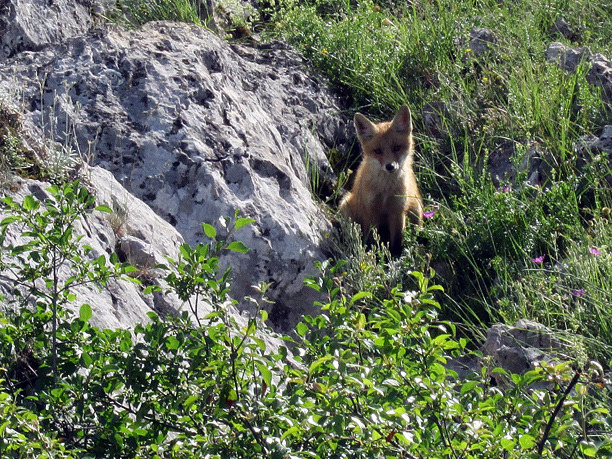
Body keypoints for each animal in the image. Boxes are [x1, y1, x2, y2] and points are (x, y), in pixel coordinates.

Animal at [338, 104, 424, 256]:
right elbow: (371, 237)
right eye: (377, 151)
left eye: (396, 148)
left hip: (416, 209)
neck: (385, 190)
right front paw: (371, 253)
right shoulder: (370, 210)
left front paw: (395, 256)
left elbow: (397, 239)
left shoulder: (398, 210)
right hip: (345, 206)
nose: (390, 166)